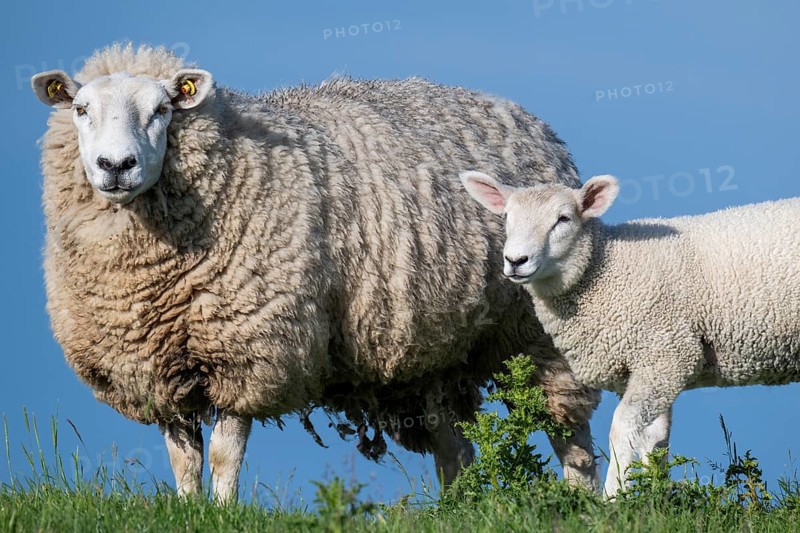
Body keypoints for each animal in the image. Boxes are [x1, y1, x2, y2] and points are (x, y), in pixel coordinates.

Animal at [31, 43, 601, 502]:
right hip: (431, 352)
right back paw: (456, 506)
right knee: (453, 448)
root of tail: (527, 120)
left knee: (567, 430)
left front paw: (222, 511)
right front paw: (188, 509)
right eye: (80, 109)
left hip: (535, 329)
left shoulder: (251, 349)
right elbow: (183, 458)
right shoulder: (157, 367)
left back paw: (581, 501)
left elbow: (224, 453)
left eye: (162, 110)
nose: (115, 166)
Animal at [462, 170, 800, 497]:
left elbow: (622, 428)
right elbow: (655, 439)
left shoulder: (666, 355)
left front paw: (613, 498)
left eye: (564, 218)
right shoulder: (644, 368)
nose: (516, 261)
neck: (604, 267)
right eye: (506, 216)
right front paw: (654, 498)